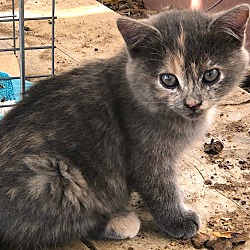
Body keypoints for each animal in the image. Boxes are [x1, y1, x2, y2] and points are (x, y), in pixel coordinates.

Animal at [0, 3, 250, 250]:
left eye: (211, 75)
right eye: (168, 80)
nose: (193, 103)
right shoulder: (145, 153)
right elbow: (160, 187)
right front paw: (177, 219)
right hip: (51, 177)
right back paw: (118, 221)